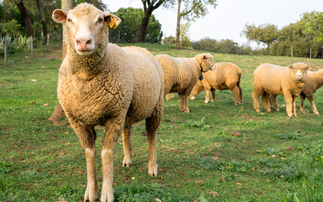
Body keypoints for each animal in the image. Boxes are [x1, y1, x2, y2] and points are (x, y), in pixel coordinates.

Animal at [52, 2, 165, 200]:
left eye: (100, 20)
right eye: (69, 20)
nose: (83, 41)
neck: (87, 78)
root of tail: (138, 47)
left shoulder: (114, 116)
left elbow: (106, 154)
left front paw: (106, 193)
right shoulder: (77, 120)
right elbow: (90, 153)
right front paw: (91, 191)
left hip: (155, 107)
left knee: (151, 135)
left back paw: (152, 167)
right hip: (126, 109)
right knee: (127, 132)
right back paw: (128, 159)